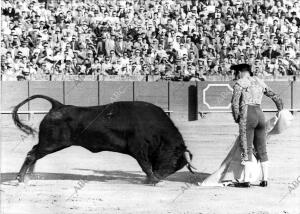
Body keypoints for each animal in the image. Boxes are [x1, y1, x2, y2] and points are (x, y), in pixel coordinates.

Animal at [11, 95, 196, 184]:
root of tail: (58, 105)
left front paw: (152, 180)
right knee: (32, 154)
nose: (159, 178)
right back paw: (21, 179)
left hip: (48, 144)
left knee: (33, 152)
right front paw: (152, 180)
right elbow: (146, 166)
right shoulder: (139, 149)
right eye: (174, 161)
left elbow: (147, 166)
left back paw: (29, 176)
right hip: (51, 144)